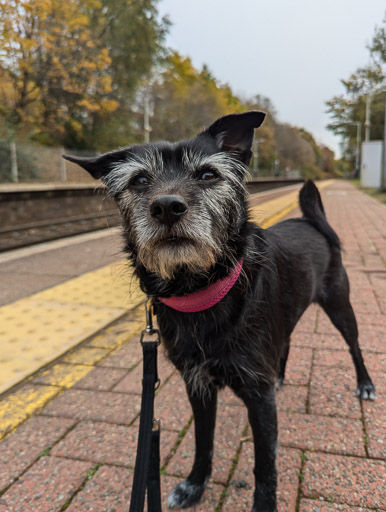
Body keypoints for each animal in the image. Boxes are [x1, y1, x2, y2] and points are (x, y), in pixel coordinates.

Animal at [65, 113, 376, 512]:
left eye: (208, 174)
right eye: (139, 180)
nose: (166, 207)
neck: (201, 295)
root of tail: (311, 222)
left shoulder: (259, 399)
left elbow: (265, 466)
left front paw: (263, 505)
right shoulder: (197, 385)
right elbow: (203, 441)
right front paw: (195, 484)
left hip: (341, 307)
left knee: (355, 347)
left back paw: (365, 384)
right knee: (287, 342)